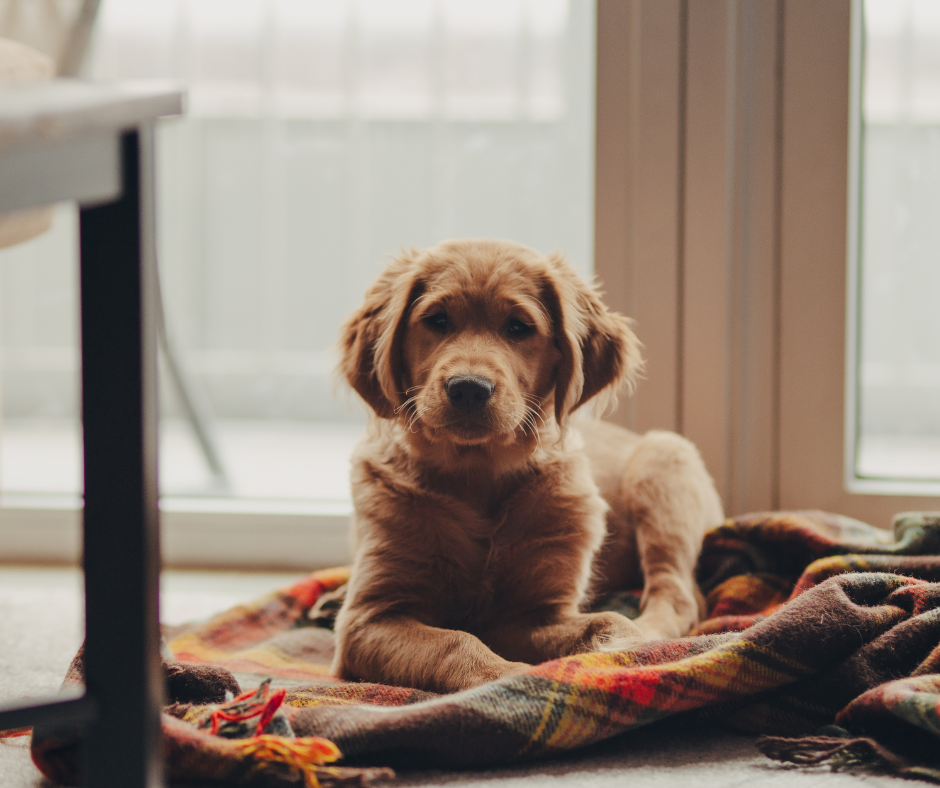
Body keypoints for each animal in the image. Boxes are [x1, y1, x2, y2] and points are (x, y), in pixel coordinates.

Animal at [330, 237, 728, 692]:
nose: (469, 388)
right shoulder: (368, 618)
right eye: (437, 320)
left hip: (665, 463)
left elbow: (607, 620)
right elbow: (454, 641)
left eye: (518, 327)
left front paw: (622, 647)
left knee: (679, 594)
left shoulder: (534, 612)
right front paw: (505, 676)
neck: (478, 474)